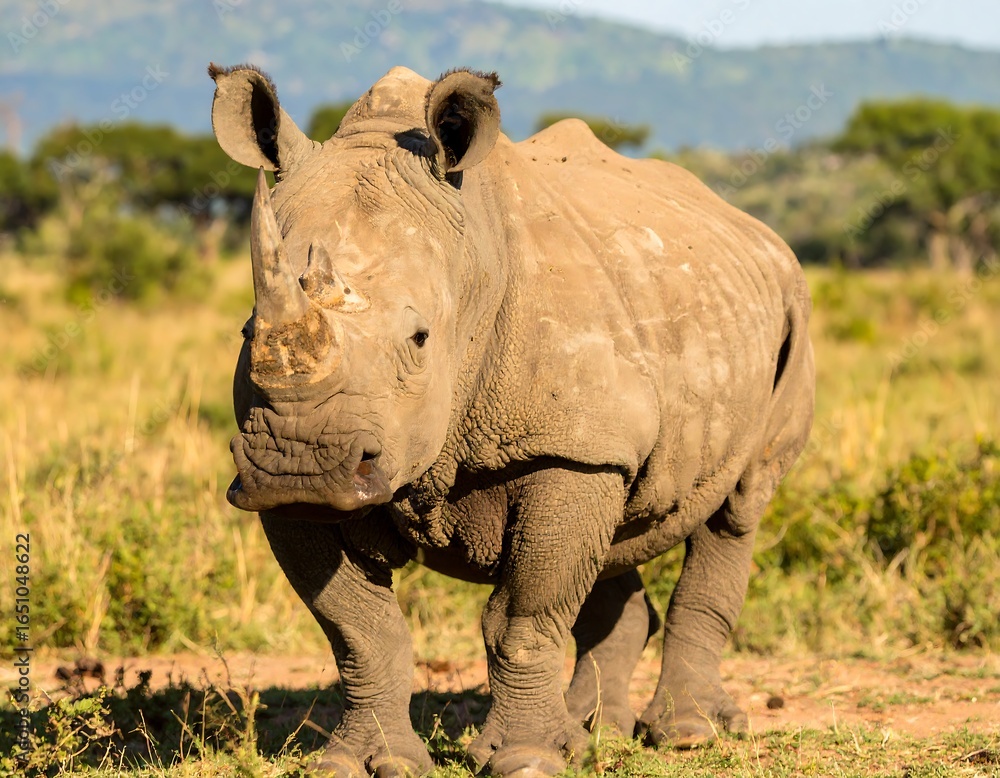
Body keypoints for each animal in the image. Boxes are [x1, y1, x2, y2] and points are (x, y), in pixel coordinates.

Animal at [210, 62, 815, 777]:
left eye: (419, 339)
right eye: (248, 332)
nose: (302, 462)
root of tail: (750, 227)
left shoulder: (569, 447)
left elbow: (522, 617)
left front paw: (527, 760)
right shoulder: (289, 492)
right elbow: (360, 630)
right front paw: (359, 764)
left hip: (789, 310)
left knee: (738, 507)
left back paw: (686, 734)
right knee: (619, 531)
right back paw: (591, 734)